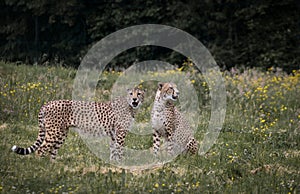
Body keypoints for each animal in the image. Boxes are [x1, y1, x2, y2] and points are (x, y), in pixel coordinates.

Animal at [10, 87, 144, 161]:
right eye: (131, 93)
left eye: (139, 93)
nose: (135, 99)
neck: (131, 106)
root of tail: (48, 103)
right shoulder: (120, 133)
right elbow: (119, 149)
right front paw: (121, 163)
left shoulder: (113, 133)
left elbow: (113, 149)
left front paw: (113, 163)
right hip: (54, 132)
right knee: (41, 149)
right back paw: (42, 169)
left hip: (61, 133)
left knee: (52, 151)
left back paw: (54, 168)